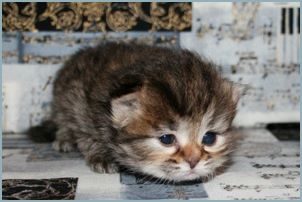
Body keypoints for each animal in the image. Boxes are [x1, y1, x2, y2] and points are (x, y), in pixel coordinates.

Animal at [28, 42, 243, 181]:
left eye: (209, 138)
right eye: (167, 139)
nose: (194, 161)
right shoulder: (81, 106)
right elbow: (87, 137)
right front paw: (100, 156)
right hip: (63, 98)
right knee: (63, 120)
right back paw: (63, 139)